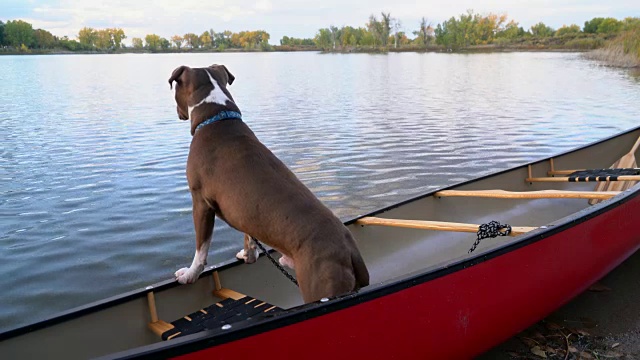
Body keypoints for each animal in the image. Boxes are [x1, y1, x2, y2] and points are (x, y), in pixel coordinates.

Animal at [168, 63, 370, 302]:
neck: (218, 117)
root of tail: (352, 253)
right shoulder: (244, 211)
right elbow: (249, 236)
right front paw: (248, 255)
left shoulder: (200, 204)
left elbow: (201, 248)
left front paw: (190, 274)